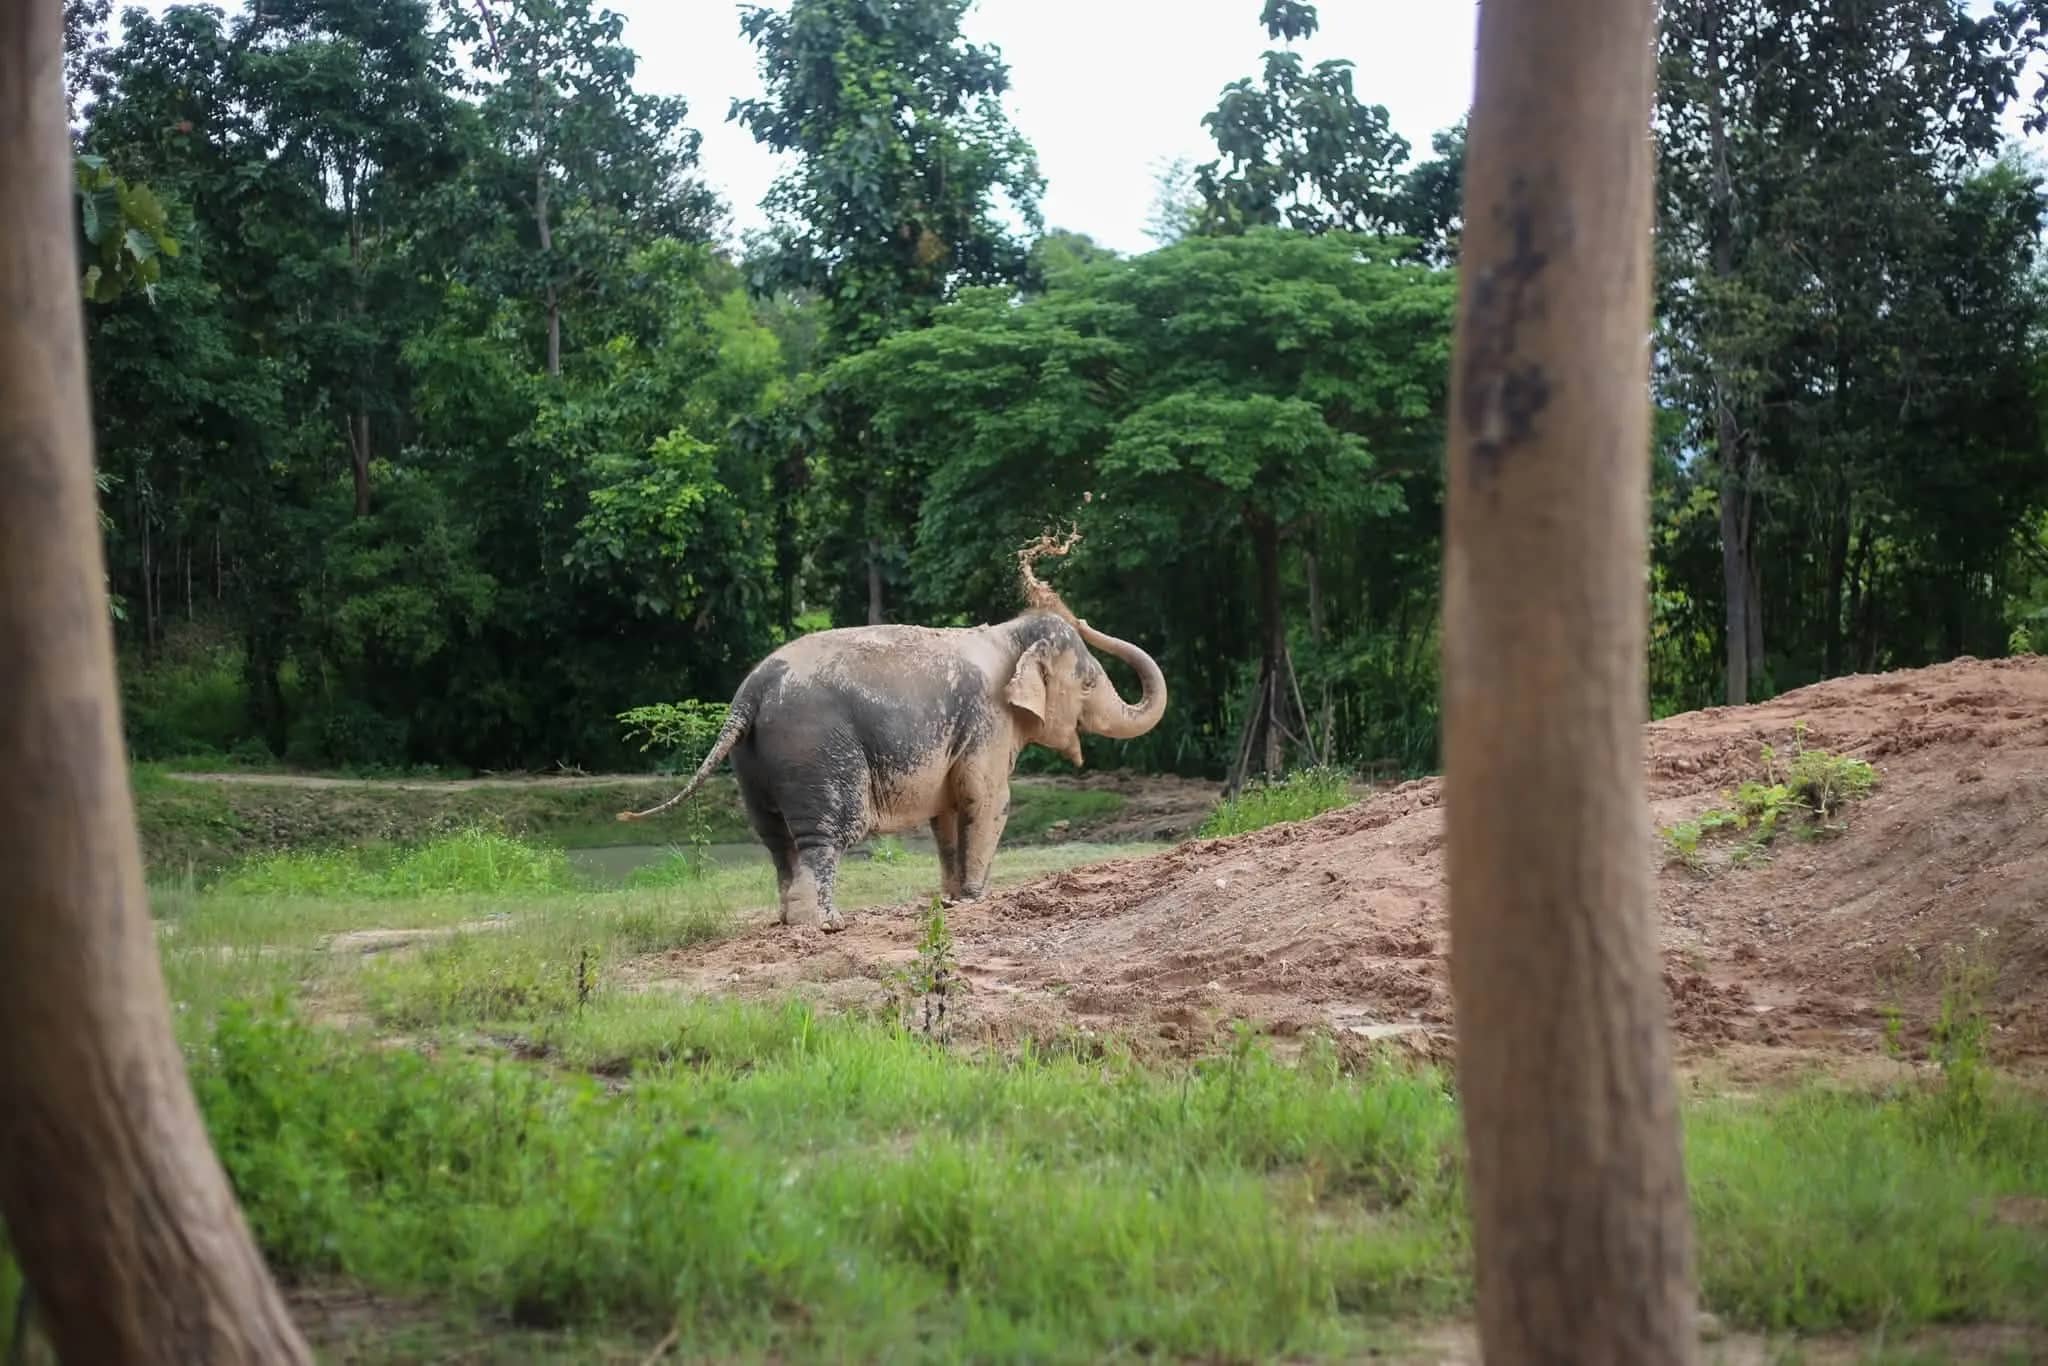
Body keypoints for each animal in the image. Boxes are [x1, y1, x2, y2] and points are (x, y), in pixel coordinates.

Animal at [616, 604, 1166, 932]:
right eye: (1089, 684)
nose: (1079, 614)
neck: (1008, 635)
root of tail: (749, 694)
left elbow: (948, 812)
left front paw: (950, 898)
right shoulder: (987, 721)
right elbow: (989, 800)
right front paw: (974, 899)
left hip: (752, 760)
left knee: (775, 838)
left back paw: (792, 921)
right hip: (815, 747)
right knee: (829, 832)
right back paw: (826, 924)